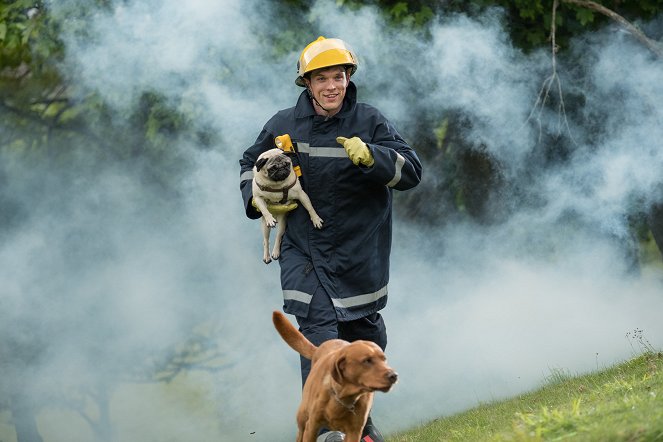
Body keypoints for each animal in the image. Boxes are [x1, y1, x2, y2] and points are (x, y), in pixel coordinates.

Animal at [272, 310, 396, 442]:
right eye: (367, 360)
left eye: (384, 359)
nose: (394, 375)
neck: (344, 397)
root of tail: (318, 349)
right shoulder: (312, 426)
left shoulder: (354, 431)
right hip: (302, 415)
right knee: (300, 432)